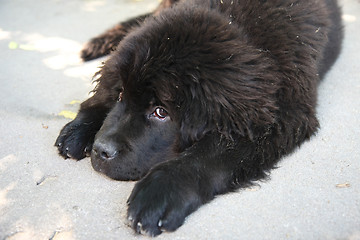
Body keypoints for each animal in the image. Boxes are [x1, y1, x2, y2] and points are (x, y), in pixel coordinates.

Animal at [54, 0, 342, 236]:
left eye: (161, 112)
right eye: (122, 94)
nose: (100, 150)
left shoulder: (277, 117)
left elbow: (207, 155)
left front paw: (160, 192)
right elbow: (104, 89)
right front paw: (80, 128)